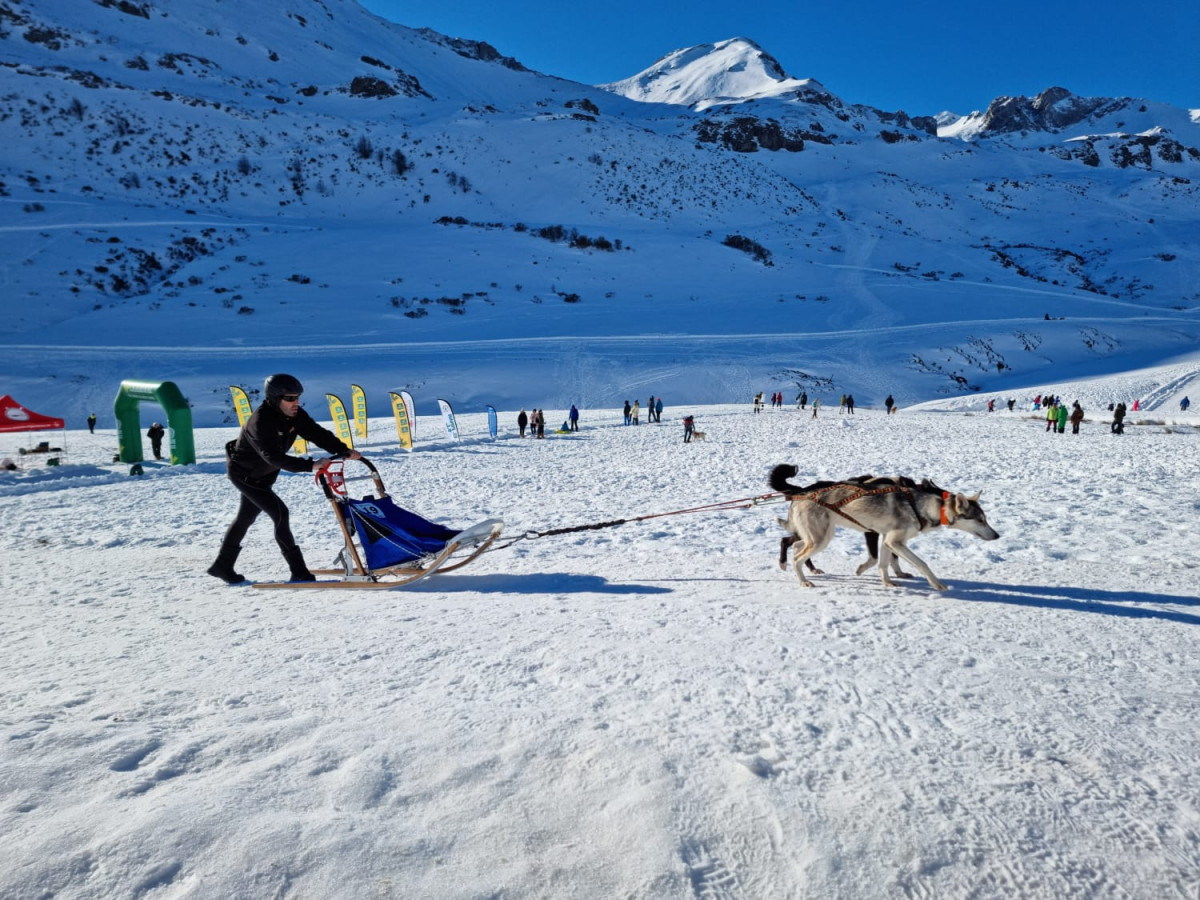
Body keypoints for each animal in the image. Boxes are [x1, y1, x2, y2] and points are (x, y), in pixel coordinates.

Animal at [772, 465, 998, 592]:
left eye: (986, 519)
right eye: (980, 520)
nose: (997, 535)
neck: (923, 505)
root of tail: (800, 494)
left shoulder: (888, 540)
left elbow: (883, 564)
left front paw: (888, 582)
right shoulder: (894, 541)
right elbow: (922, 563)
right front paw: (936, 584)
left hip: (821, 536)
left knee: (796, 545)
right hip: (821, 539)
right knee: (796, 557)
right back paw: (803, 580)